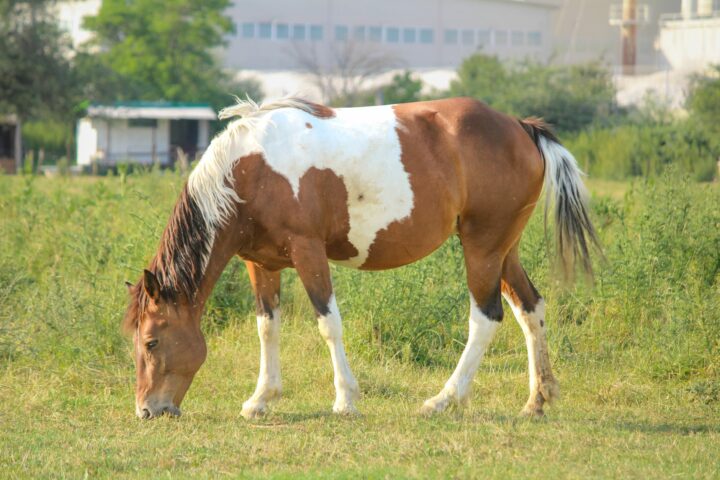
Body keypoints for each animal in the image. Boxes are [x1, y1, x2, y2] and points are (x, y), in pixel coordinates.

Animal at [123, 96, 599, 420]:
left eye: (151, 342)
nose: (147, 410)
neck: (250, 171)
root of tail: (521, 127)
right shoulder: (262, 264)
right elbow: (267, 328)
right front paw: (261, 398)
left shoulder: (307, 251)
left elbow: (328, 324)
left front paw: (345, 399)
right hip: (504, 250)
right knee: (530, 309)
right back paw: (537, 399)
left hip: (481, 248)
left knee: (486, 318)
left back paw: (445, 399)